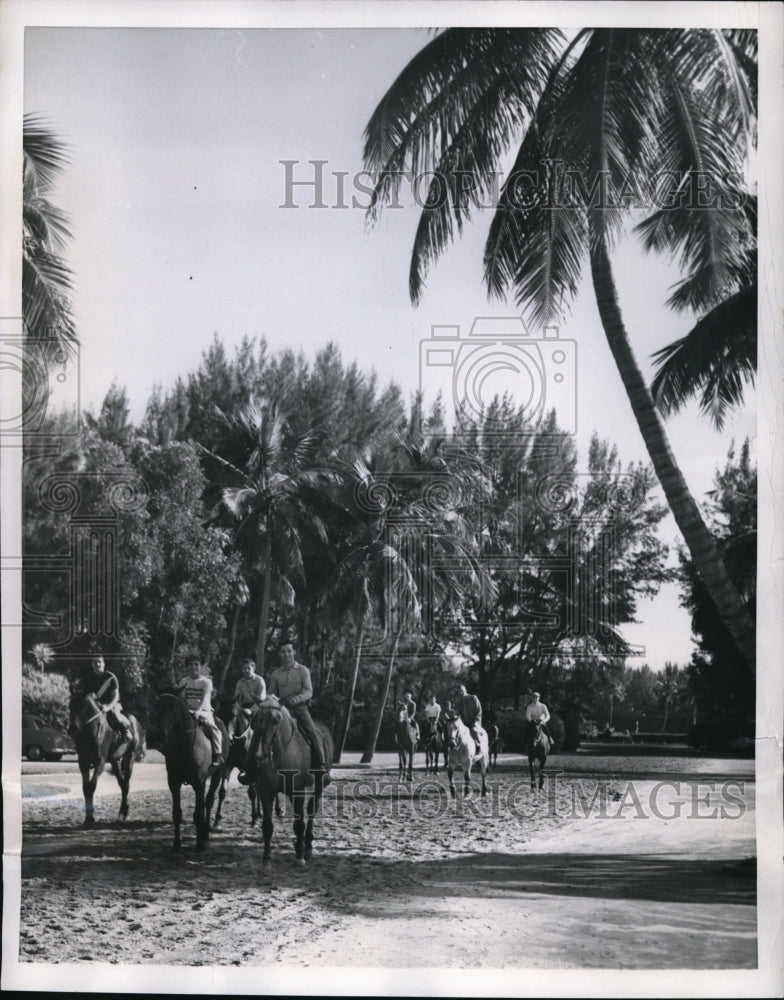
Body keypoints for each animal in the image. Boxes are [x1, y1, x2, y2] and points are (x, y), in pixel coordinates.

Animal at [68, 692, 144, 824]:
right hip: (115, 761)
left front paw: (90, 817)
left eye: (83, 706)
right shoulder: (83, 763)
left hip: (130, 758)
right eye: (70, 706)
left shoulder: (100, 762)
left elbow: (92, 787)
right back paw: (122, 811)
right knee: (122, 784)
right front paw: (88, 817)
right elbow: (85, 788)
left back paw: (124, 813)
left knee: (126, 784)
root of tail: (134, 721)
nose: (72, 729)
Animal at [154, 696, 225, 852]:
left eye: (172, 707)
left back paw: (205, 833)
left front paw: (199, 844)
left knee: (209, 801)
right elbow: (177, 814)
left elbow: (198, 814)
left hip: (218, 774)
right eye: (157, 706)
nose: (160, 736)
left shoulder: (199, 782)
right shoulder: (173, 782)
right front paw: (176, 844)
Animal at [253, 696, 332, 868]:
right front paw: (267, 859)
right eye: (256, 719)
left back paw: (307, 848)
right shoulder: (266, 792)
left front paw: (300, 856)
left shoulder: (298, 792)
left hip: (318, 785)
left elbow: (299, 824)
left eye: (275, 720)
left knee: (311, 810)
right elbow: (267, 826)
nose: (260, 754)